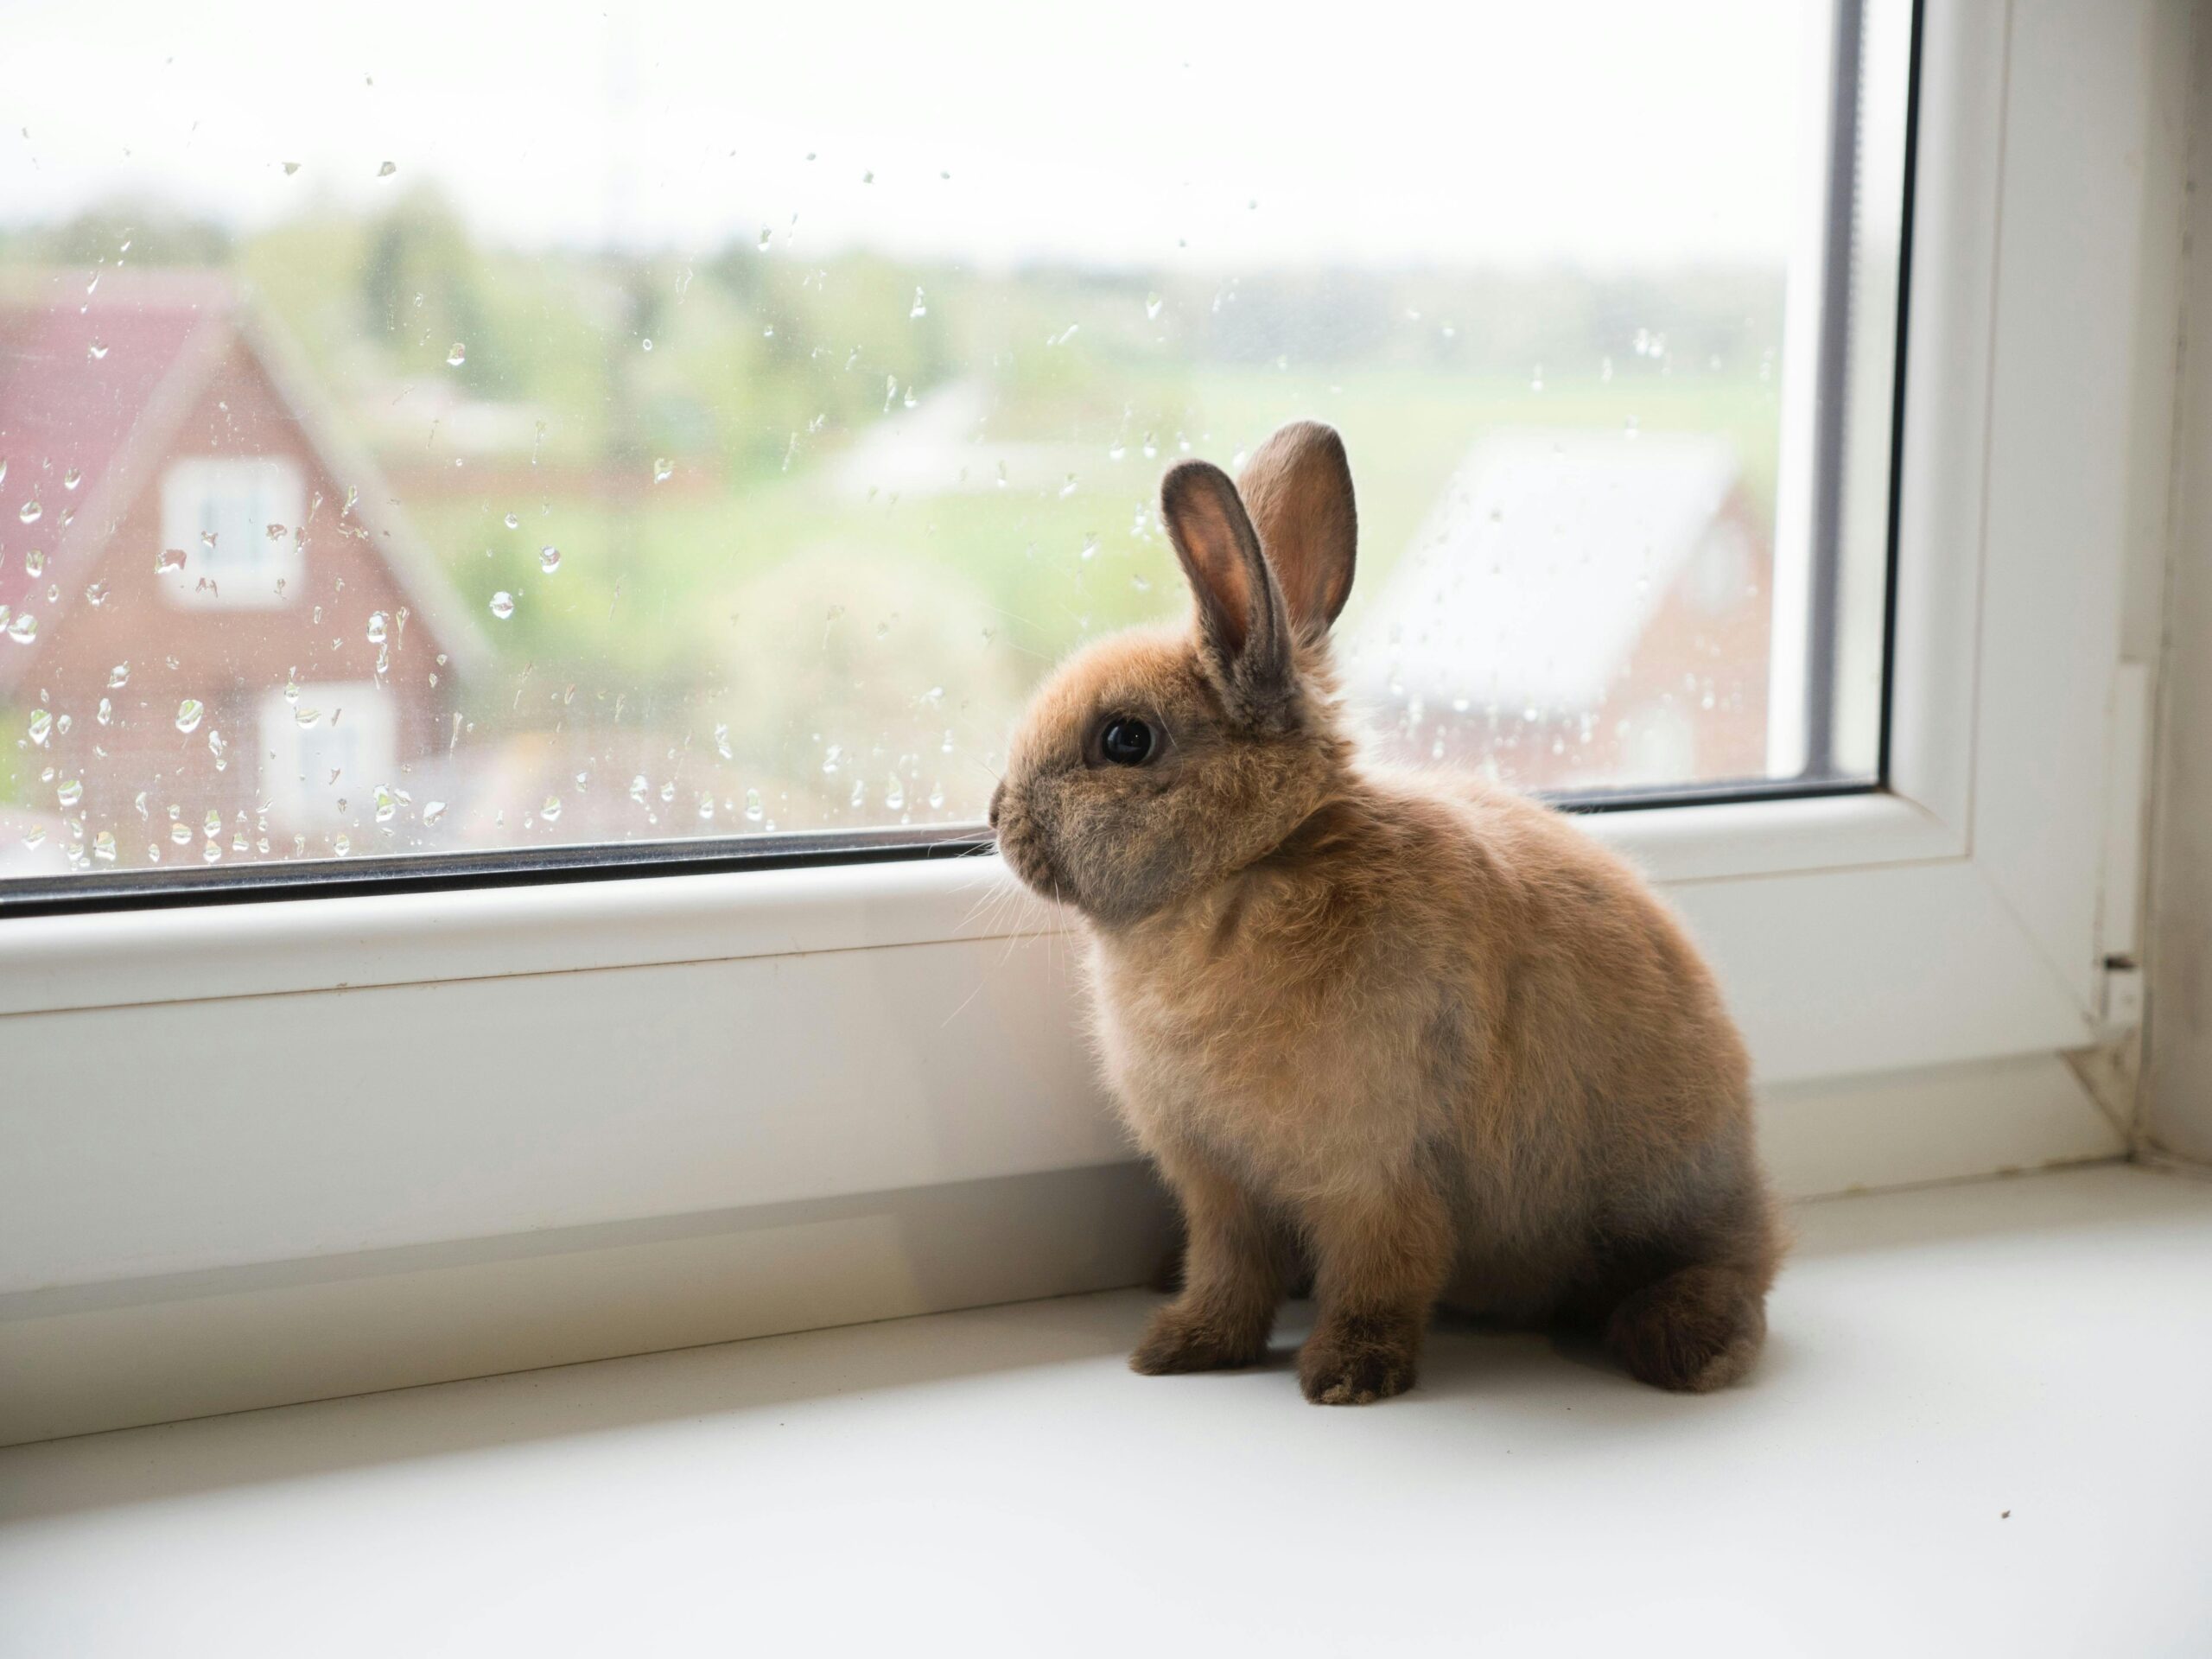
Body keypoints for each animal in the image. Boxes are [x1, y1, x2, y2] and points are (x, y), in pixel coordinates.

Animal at [995, 417, 1787, 1407]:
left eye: (1126, 739)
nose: (997, 817)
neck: (1251, 866)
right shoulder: (1220, 1188)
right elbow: (1228, 1273)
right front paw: (1181, 1348)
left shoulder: (1377, 1173)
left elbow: (1384, 1273)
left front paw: (1346, 1376)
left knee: (1734, 1270)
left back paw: (1686, 1345)